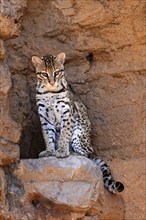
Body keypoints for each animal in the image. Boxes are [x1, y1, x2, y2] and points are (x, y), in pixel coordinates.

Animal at [31, 52, 124, 193]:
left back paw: (73, 153)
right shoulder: (44, 117)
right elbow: (47, 135)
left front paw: (62, 150)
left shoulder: (68, 113)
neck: (50, 92)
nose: (52, 82)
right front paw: (49, 151)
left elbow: (64, 134)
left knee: (86, 155)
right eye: (44, 74)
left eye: (57, 72)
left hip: (79, 134)